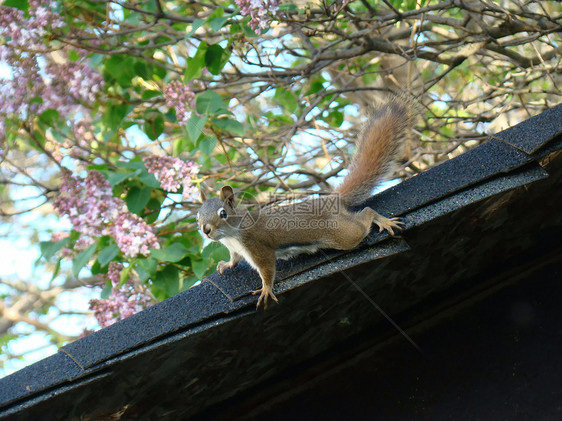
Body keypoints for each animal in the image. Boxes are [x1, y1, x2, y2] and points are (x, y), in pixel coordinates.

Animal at [197, 97, 412, 308]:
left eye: (223, 213)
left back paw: (384, 221)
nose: (206, 230)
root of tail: (332, 200)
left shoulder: (257, 246)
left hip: (343, 234)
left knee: (365, 214)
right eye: (198, 216)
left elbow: (267, 269)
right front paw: (226, 265)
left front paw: (266, 289)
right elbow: (234, 260)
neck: (230, 236)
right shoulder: (234, 249)